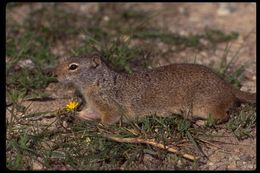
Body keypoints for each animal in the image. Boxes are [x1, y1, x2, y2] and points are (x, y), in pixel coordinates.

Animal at [55, 52, 256, 125]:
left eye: (73, 66)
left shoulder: (109, 106)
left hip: (205, 105)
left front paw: (99, 128)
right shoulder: (94, 105)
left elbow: (108, 119)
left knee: (223, 116)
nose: (54, 74)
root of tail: (228, 87)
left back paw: (202, 123)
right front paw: (76, 115)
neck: (98, 83)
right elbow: (87, 112)